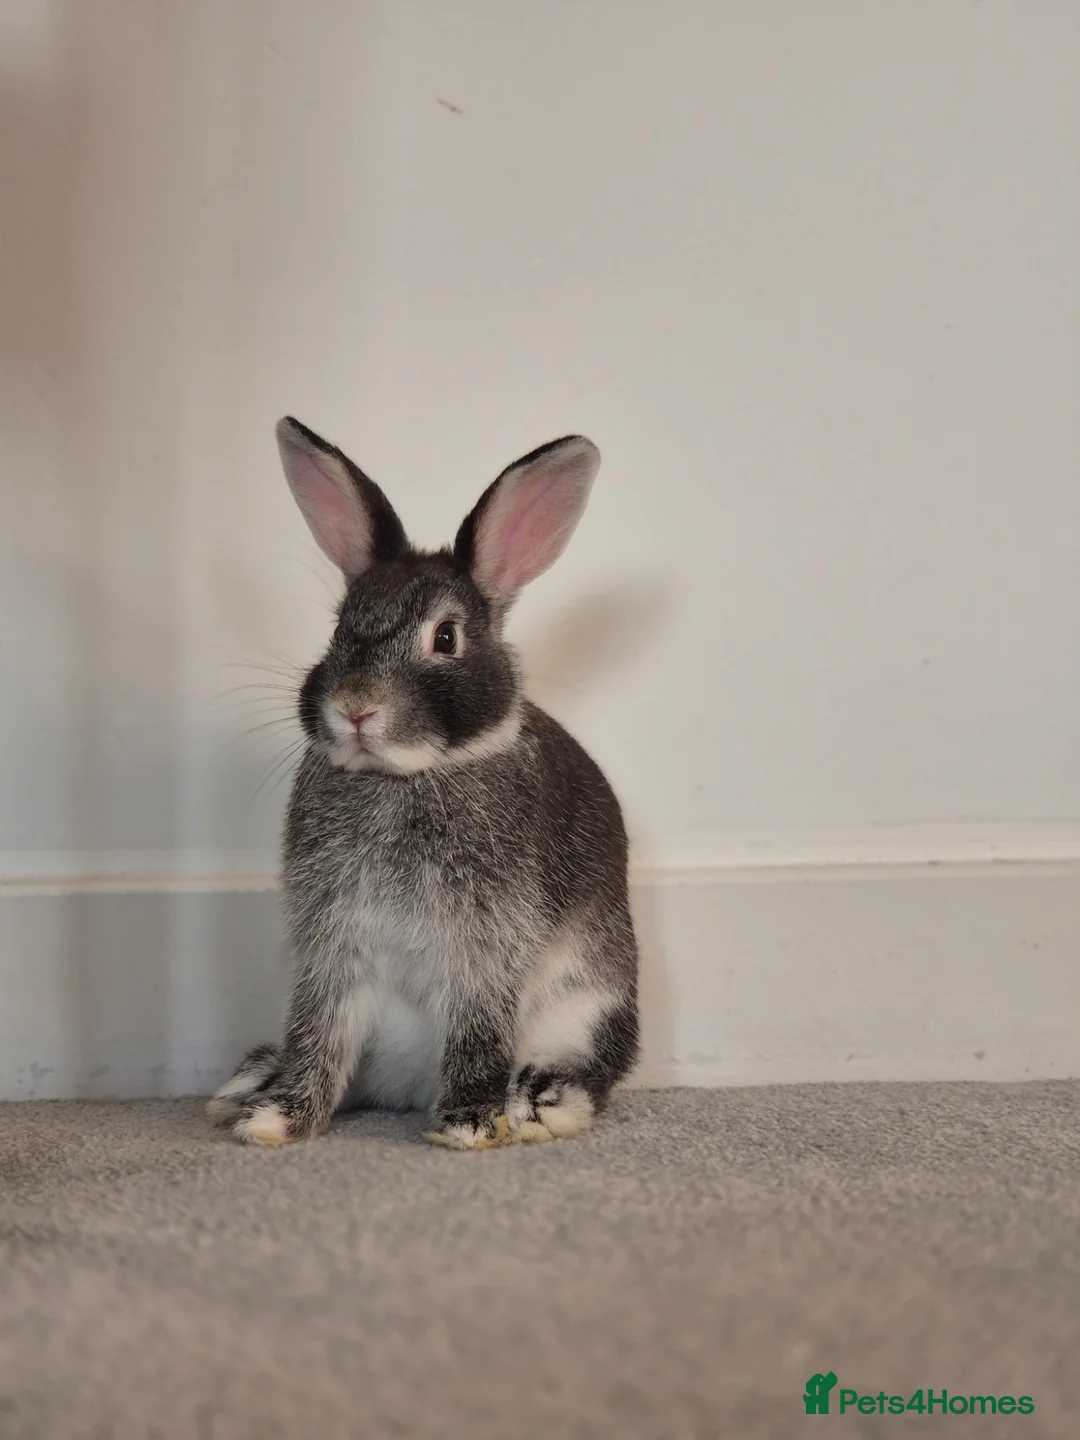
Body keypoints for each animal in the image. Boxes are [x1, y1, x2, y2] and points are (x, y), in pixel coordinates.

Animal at [207, 417, 639, 1149]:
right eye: (340, 626)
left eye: (445, 638)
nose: (356, 708)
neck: (405, 776)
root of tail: (406, 1088)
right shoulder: (332, 939)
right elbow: (319, 1029)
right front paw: (277, 1120)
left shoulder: (486, 940)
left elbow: (476, 1027)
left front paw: (467, 1125)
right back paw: (249, 1085)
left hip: (589, 1006)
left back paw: (538, 1103)